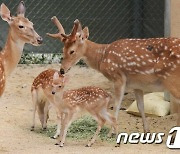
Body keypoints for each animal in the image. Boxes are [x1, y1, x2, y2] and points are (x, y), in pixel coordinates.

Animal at [46, 16, 180, 133]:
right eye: (63, 50)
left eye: (72, 51)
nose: (62, 70)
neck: (102, 57)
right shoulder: (137, 84)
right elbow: (140, 106)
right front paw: (147, 131)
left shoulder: (118, 77)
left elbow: (116, 105)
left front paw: (112, 132)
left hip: (172, 79)